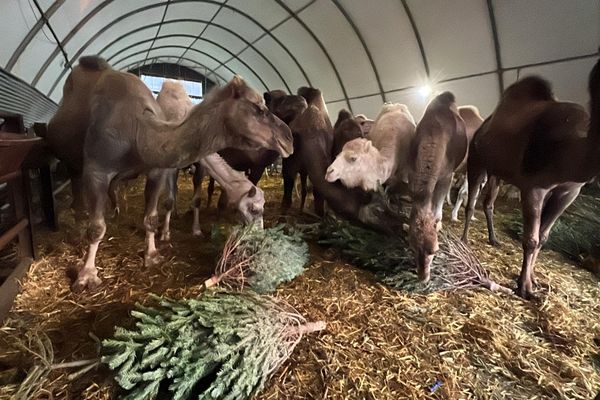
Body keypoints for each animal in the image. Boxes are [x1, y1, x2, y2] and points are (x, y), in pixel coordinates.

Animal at [70, 57, 292, 290]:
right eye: (255, 209)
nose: (288, 139)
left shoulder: (199, 164)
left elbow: (195, 199)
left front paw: (195, 230)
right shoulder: (167, 166)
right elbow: (166, 200)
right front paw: (164, 234)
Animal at [408, 92, 468, 282]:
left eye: (434, 250)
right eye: (412, 247)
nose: (423, 277)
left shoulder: (447, 174)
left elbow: (439, 201)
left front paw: (439, 222)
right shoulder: (413, 170)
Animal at [462, 54, 596, 298]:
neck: (572, 147)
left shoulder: (569, 191)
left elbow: (543, 237)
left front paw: (533, 280)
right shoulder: (534, 186)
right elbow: (531, 239)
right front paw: (525, 287)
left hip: (497, 173)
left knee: (488, 203)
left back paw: (494, 239)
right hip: (476, 162)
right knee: (472, 201)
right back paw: (465, 239)